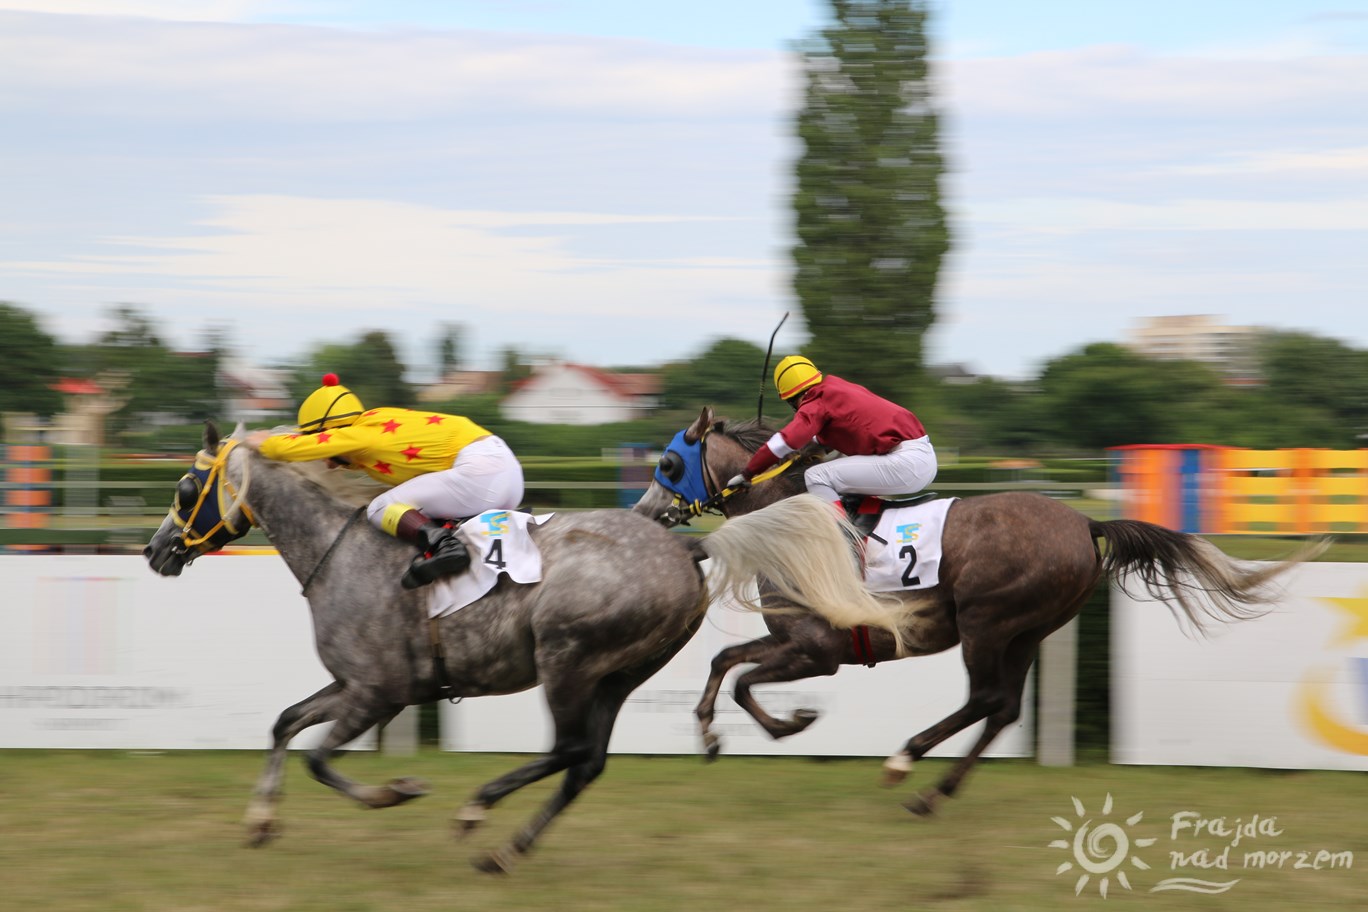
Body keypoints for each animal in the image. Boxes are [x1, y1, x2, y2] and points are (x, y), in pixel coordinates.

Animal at [144, 423, 902, 875]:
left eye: (186, 487)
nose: (155, 551)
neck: (339, 550)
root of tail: (688, 548)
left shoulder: (379, 691)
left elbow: (321, 758)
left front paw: (396, 790)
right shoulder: (353, 684)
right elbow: (284, 725)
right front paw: (260, 821)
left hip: (565, 656)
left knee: (567, 748)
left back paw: (478, 809)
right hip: (621, 673)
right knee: (586, 761)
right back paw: (509, 848)